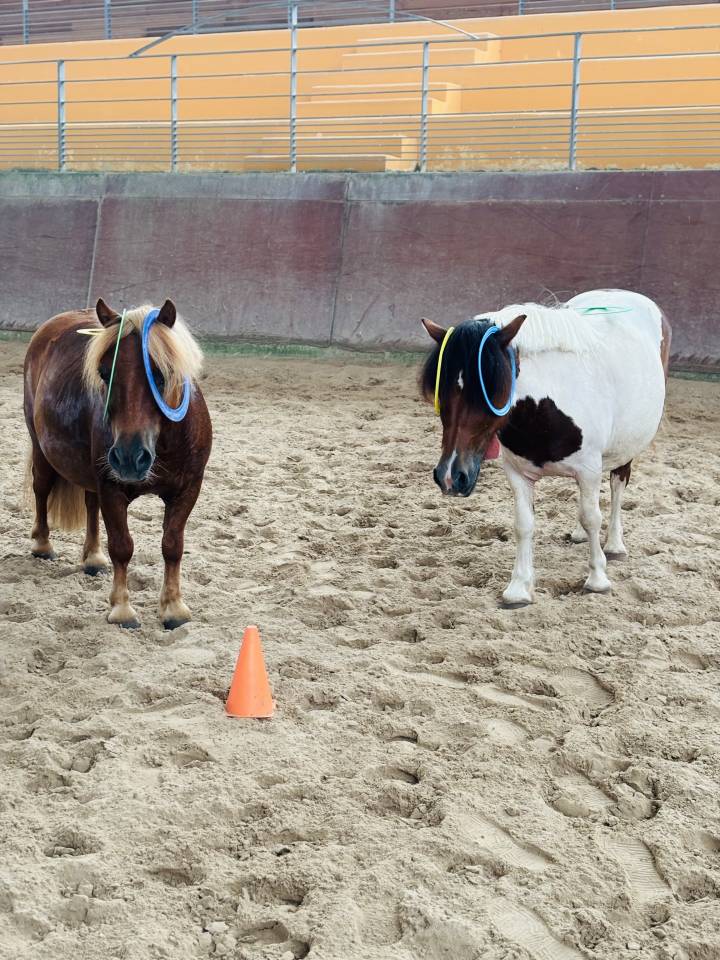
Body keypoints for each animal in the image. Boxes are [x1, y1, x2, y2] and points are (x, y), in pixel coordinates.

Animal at [23, 299, 212, 629]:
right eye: (103, 372)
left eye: (162, 374)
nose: (128, 457)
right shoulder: (112, 488)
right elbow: (122, 547)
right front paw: (122, 609)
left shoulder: (188, 489)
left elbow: (172, 545)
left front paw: (173, 608)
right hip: (42, 450)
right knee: (42, 490)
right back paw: (43, 546)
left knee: (90, 504)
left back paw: (93, 557)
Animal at [420, 289, 671, 607]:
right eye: (442, 392)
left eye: (493, 389)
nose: (451, 476)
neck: (543, 408)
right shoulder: (518, 474)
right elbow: (524, 523)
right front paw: (518, 587)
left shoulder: (589, 469)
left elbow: (593, 517)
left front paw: (597, 578)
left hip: (626, 449)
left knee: (616, 486)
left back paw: (614, 544)